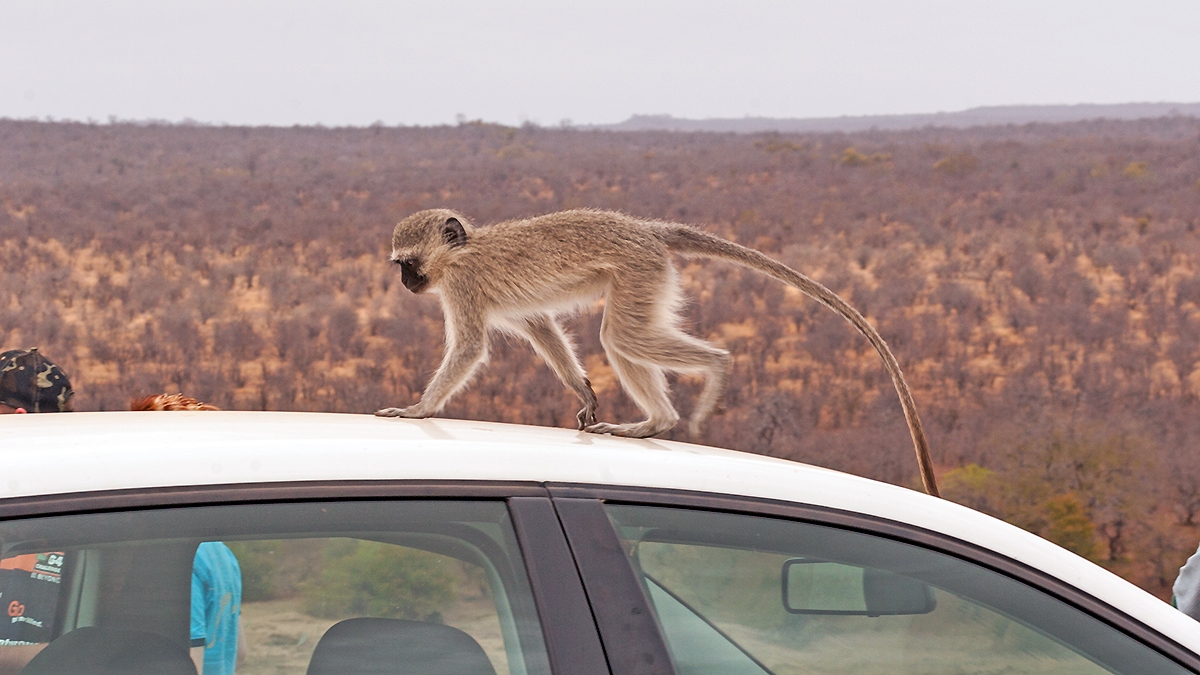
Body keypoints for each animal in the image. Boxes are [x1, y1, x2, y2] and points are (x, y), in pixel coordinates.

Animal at [377, 208, 939, 497]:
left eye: (408, 264)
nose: (406, 285)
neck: (461, 252)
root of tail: (646, 228)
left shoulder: (463, 287)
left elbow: (471, 346)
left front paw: (418, 409)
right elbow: (540, 326)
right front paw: (583, 391)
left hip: (638, 272)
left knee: (621, 338)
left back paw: (706, 378)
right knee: (621, 340)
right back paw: (656, 422)